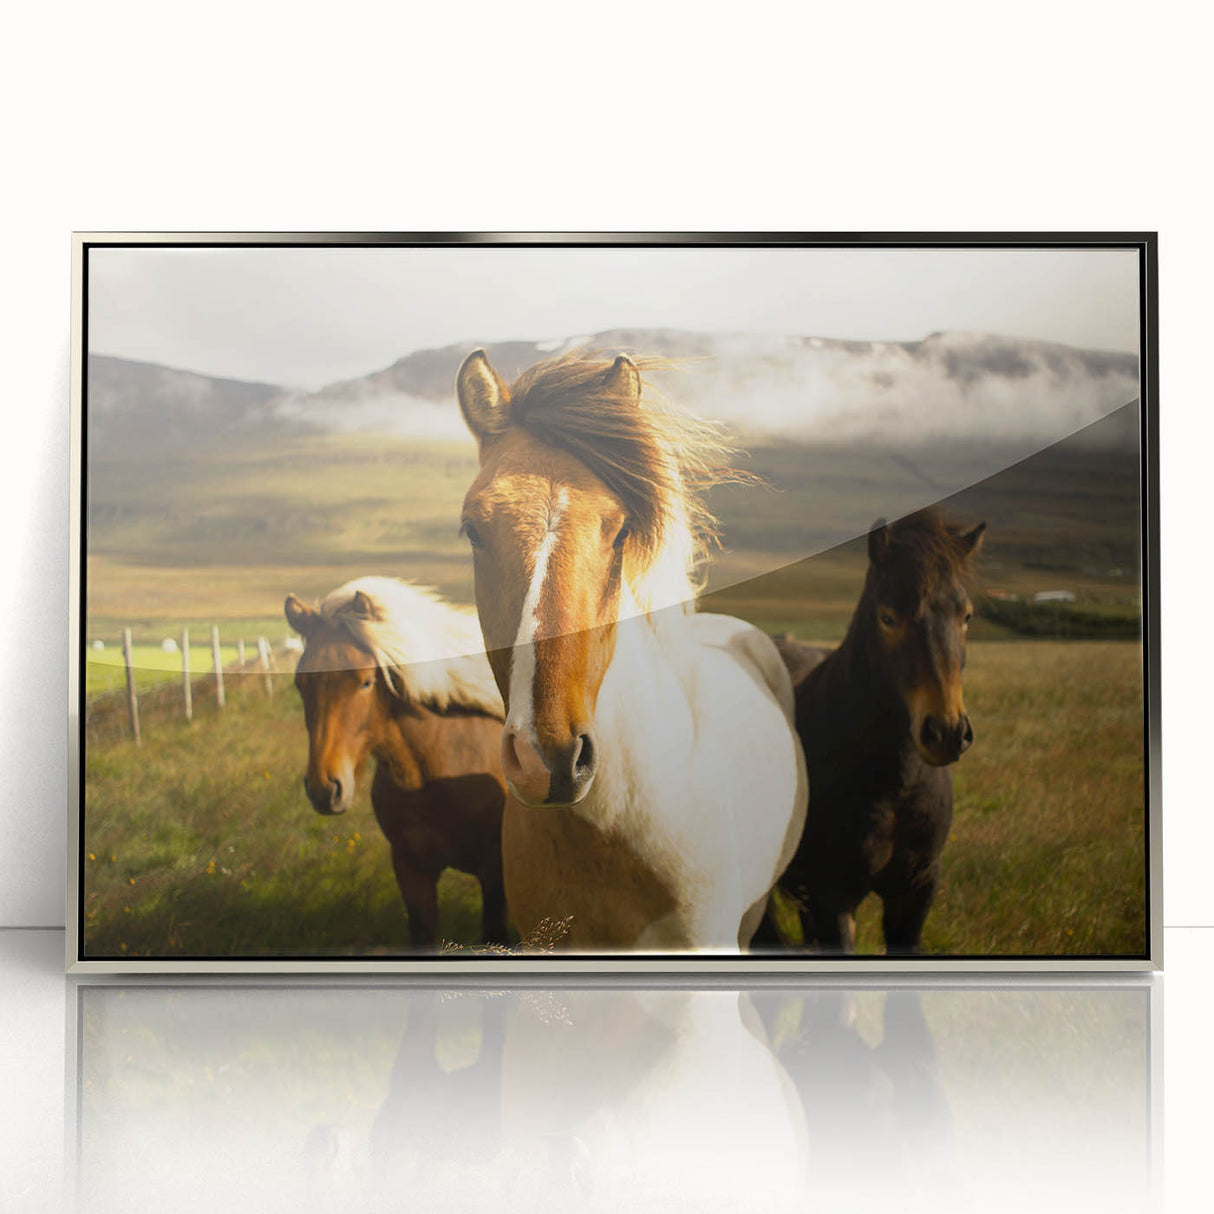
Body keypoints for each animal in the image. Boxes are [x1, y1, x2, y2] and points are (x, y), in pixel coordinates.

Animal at [760, 510, 985, 954]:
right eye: (888, 617)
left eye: (966, 616)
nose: (946, 732)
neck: (893, 786)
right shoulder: (831, 899)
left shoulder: (915, 892)